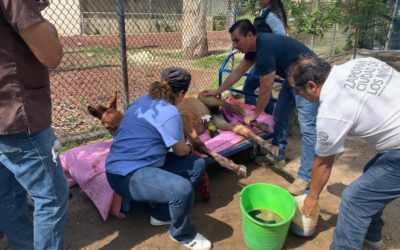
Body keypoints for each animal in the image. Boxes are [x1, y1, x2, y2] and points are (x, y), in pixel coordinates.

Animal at [88, 92, 280, 178]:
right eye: (107, 127)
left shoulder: (184, 122)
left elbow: (200, 146)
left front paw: (234, 166)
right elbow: (195, 147)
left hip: (211, 99)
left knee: (236, 108)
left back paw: (263, 126)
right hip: (218, 120)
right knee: (241, 129)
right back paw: (270, 144)